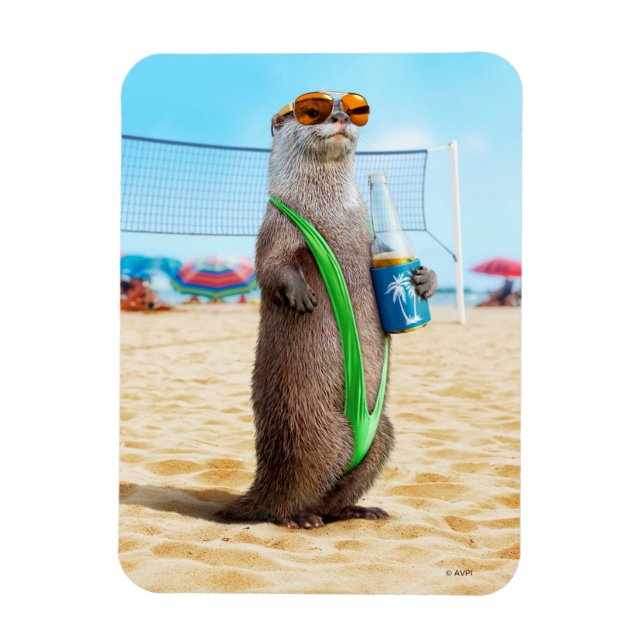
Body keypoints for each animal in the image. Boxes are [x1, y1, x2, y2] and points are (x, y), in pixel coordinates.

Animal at [216, 95, 437, 529]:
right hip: (316, 433)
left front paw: (425, 281)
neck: (332, 213)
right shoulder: (276, 226)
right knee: (289, 495)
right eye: (311, 110)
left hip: (382, 434)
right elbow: (272, 267)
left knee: (340, 487)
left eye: (351, 109)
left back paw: (357, 509)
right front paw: (301, 294)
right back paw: (298, 518)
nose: (339, 117)